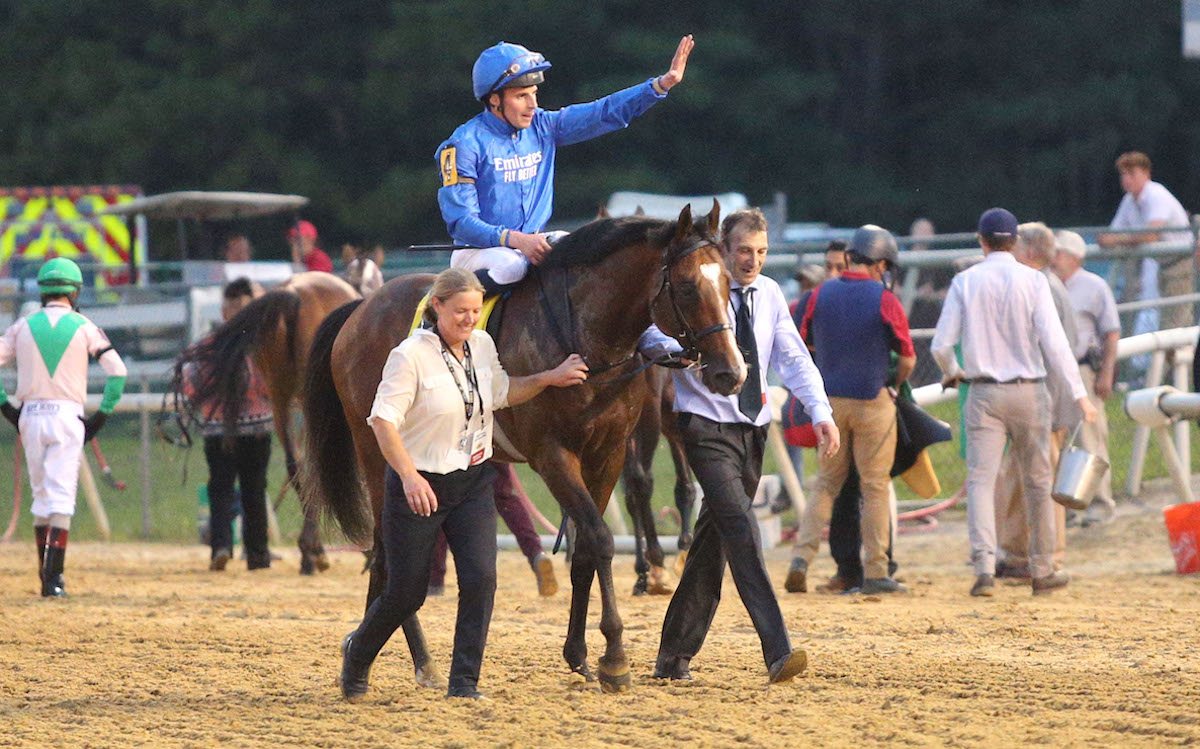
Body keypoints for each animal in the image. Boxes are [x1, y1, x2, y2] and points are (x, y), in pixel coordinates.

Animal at [300, 202, 744, 691]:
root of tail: (360, 308)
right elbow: (601, 538)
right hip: (382, 458)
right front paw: (614, 657)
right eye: (685, 286)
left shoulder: (606, 453)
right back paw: (414, 659)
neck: (584, 333)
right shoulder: (552, 456)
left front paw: (579, 654)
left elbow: (586, 548)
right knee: (391, 553)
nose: (730, 371)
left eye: (727, 281)